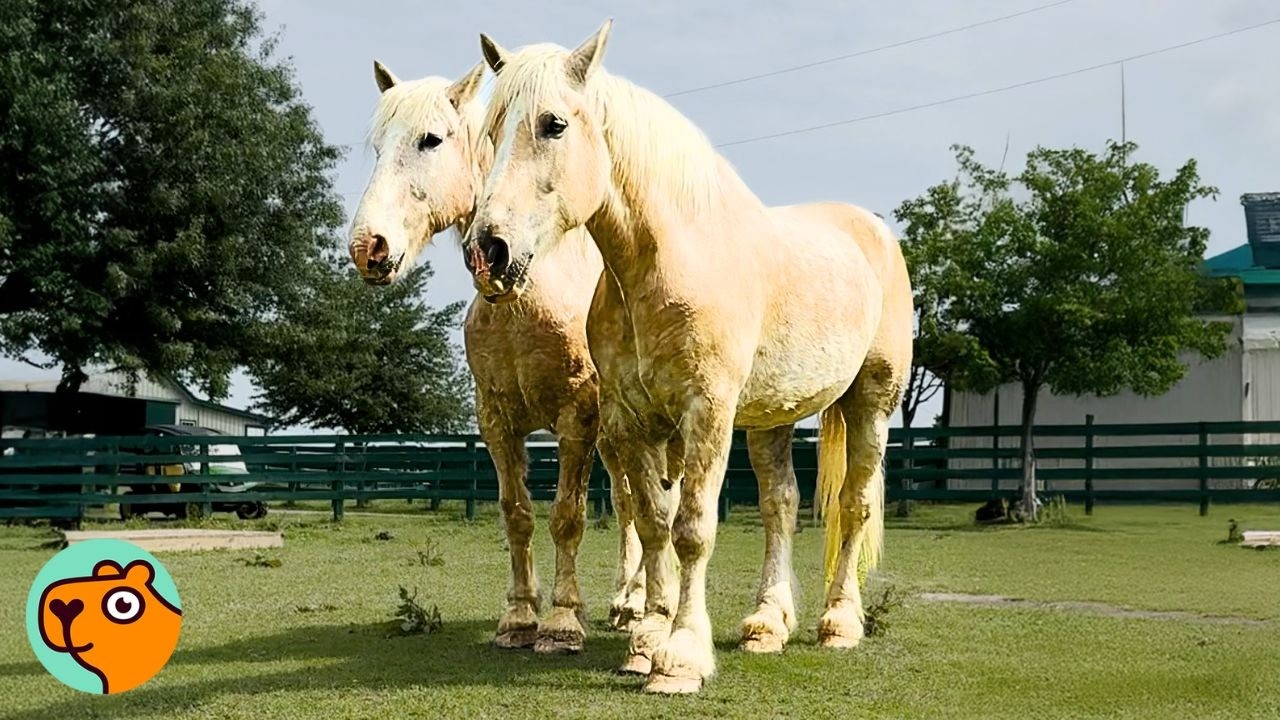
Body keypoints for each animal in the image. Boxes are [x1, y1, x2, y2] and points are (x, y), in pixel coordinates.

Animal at [346, 59, 651, 654]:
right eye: (377, 147)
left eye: (431, 139)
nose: (367, 247)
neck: (526, 299)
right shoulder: (496, 422)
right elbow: (517, 515)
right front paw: (518, 619)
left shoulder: (576, 419)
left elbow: (567, 517)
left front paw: (562, 624)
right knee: (630, 505)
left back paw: (635, 606)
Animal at [463, 21, 913, 694]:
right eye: (491, 131)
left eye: (553, 124)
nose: (488, 251)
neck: (665, 264)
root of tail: (875, 231)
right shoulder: (632, 421)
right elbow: (654, 522)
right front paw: (645, 642)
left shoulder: (707, 413)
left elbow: (693, 530)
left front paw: (680, 657)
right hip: (772, 417)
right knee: (781, 506)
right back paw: (766, 625)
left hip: (872, 402)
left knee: (853, 507)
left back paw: (838, 624)